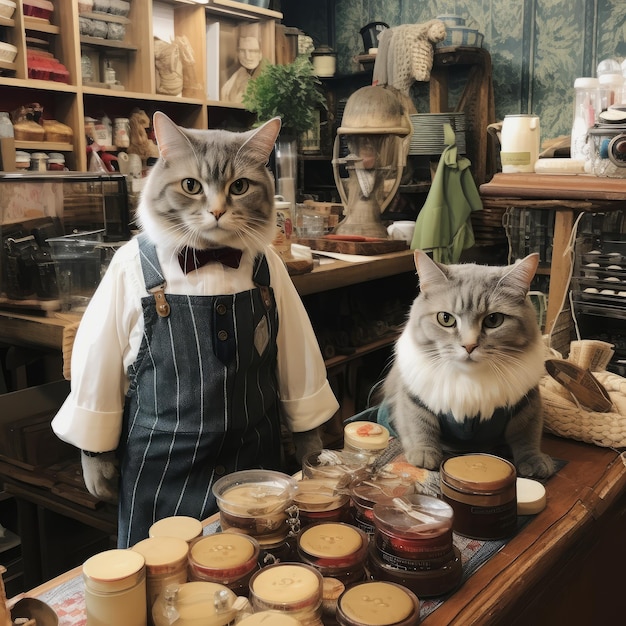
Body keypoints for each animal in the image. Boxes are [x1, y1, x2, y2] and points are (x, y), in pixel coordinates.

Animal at [53, 112, 336, 544]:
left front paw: (311, 454)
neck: (210, 257)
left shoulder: (282, 289)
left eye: (239, 187)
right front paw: (98, 470)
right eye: (191, 186)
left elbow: (302, 394)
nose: (217, 212)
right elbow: (97, 392)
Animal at [382, 249, 552, 478]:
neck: (470, 380)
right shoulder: (413, 397)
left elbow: (527, 434)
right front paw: (424, 455)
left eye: (493, 320)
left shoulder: (527, 402)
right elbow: (419, 425)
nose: (469, 346)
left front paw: (535, 462)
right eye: (445, 319)